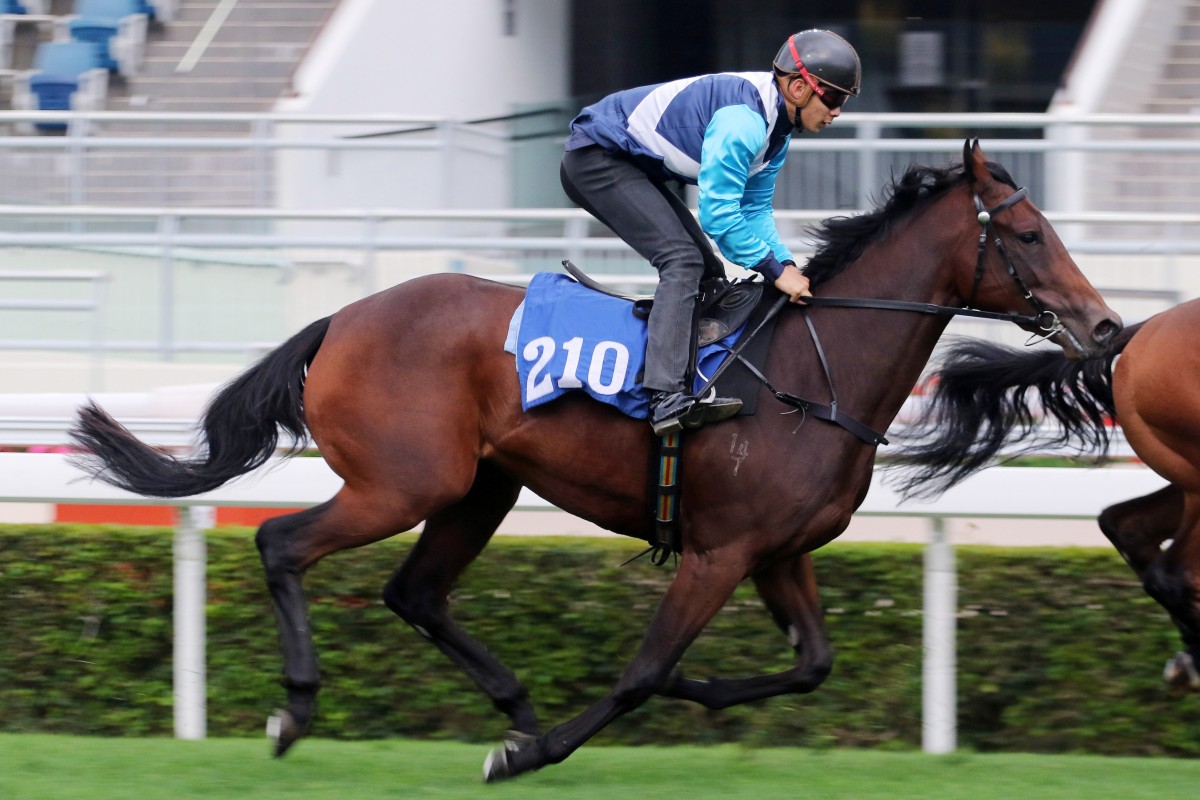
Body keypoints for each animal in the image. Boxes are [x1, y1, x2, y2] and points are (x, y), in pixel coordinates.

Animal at [68, 140, 1113, 777]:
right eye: (1028, 234)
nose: (1104, 326)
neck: (813, 371)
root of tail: (343, 319)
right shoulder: (719, 553)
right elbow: (642, 671)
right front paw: (533, 755)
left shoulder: (778, 551)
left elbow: (812, 664)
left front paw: (692, 693)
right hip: (404, 482)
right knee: (283, 543)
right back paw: (299, 710)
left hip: (479, 487)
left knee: (415, 592)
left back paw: (515, 703)